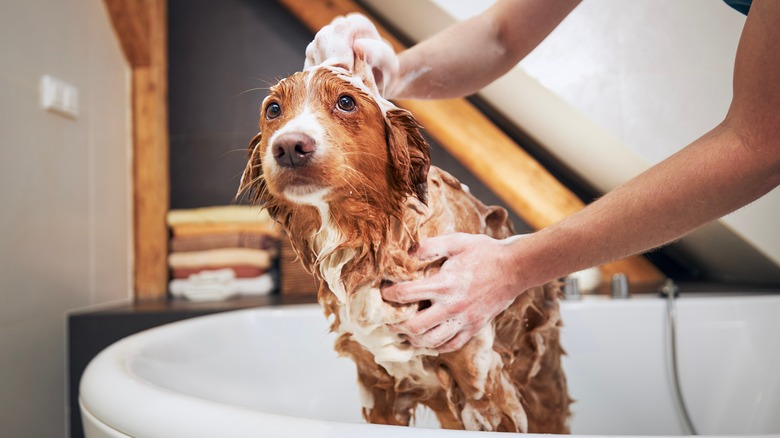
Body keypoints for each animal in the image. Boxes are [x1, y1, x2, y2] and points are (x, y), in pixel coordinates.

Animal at [235, 60, 568, 432]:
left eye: (346, 102)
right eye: (273, 109)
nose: (290, 146)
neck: (371, 243)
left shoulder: (482, 383)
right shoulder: (378, 388)